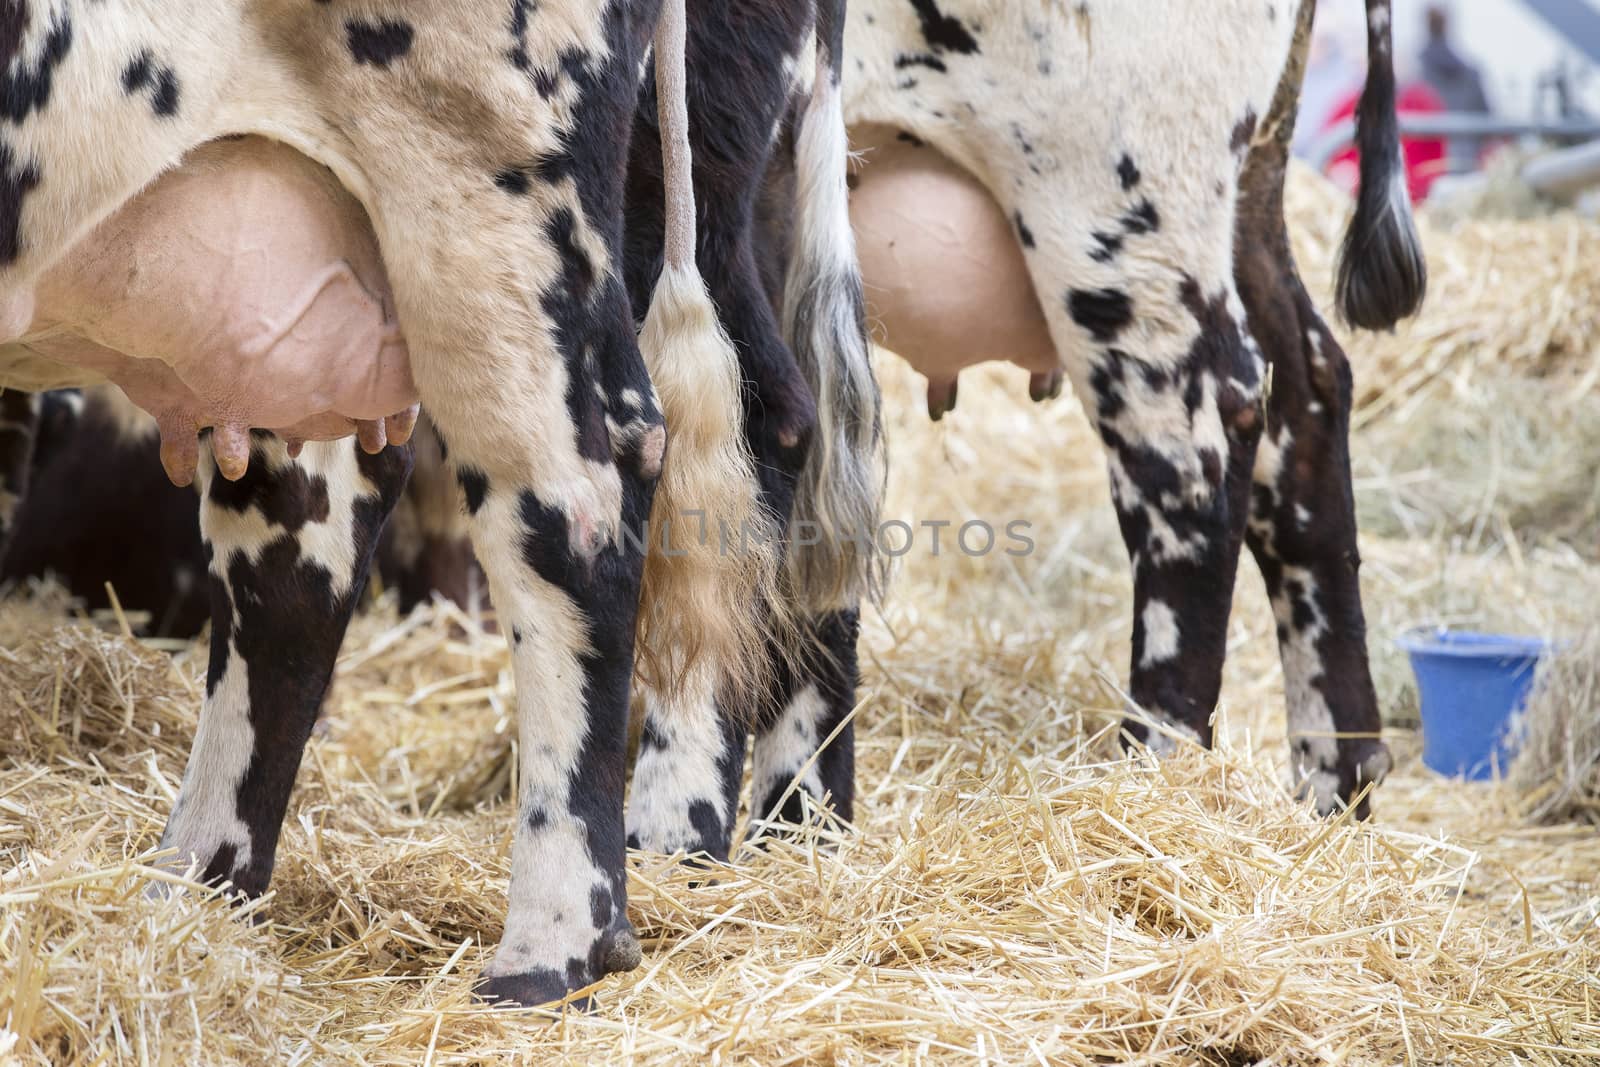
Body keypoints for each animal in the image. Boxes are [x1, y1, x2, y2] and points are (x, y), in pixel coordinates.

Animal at [825, 0, 1427, 819]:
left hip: (1114, 214)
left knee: (1194, 448)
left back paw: (1156, 778)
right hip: (1241, 195)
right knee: (1305, 395)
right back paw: (1332, 797)